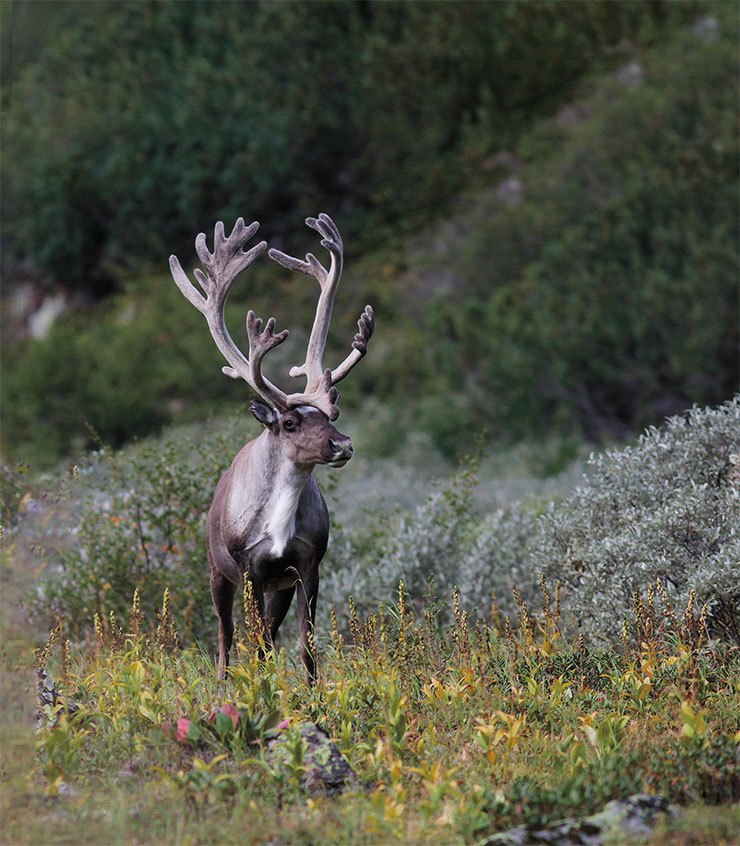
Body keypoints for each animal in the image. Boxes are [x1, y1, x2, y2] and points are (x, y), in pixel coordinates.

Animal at [169, 214, 374, 682]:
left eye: (332, 415)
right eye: (290, 422)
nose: (343, 443)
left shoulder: (306, 566)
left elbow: (305, 645)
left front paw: (313, 691)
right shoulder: (249, 569)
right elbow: (253, 643)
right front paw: (259, 689)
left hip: (278, 586)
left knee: (267, 634)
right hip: (216, 570)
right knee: (225, 638)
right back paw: (224, 685)